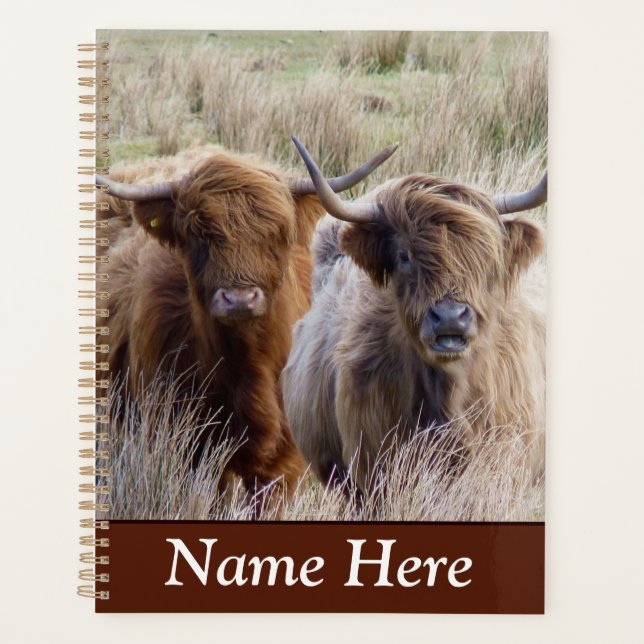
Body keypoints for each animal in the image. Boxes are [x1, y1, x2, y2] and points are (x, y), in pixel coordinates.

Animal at [96, 142, 397, 497]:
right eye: (198, 235)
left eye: (278, 234)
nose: (239, 298)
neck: (250, 367)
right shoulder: (187, 449)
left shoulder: (281, 465)